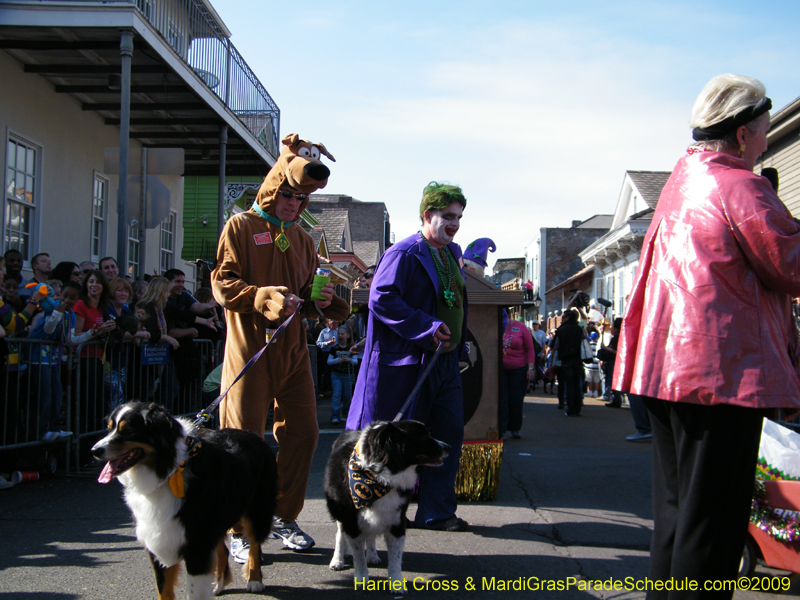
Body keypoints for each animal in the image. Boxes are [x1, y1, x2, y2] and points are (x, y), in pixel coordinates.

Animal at [90, 404, 276, 600]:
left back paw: (254, 581)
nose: (94, 451)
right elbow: (163, 589)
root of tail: (254, 436)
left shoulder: (196, 544)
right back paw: (219, 585)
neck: (169, 471)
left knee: (254, 546)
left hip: (257, 510)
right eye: (109, 428)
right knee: (223, 550)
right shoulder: (161, 537)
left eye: (129, 430)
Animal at [324, 422, 450, 592]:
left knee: (370, 536)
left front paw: (396, 583)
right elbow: (358, 556)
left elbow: (395, 558)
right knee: (340, 535)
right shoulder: (351, 521)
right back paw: (337, 560)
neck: (379, 479)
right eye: (423, 436)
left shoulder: (397, 521)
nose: (449, 447)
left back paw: (372, 555)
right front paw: (361, 579)